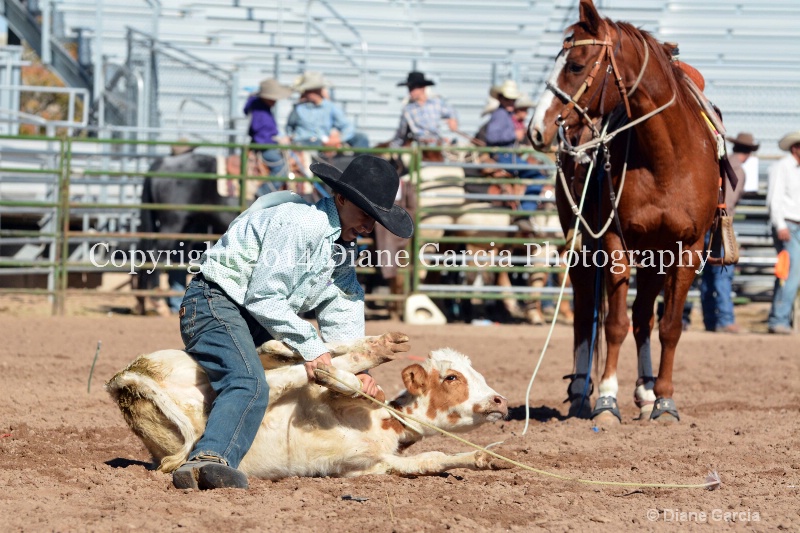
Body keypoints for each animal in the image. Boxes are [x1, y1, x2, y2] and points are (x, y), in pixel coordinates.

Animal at [106, 332, 510, 478]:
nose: (500, 401)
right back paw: (360, 354)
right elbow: (334, 382)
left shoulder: (370, 466)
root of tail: (126, 380)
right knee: (278, 373)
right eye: (452, 378)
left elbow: (430, 460)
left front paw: (486, 458)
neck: (382, 424)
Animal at [532, 1, 720, 424]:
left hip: (654, 257)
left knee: (643, 317)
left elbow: (668, 326)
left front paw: (664, 401)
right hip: (582, 245)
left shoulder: (686, 247)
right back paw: (580, 393)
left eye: (576, 65)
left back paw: (646, 392)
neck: (667, 159)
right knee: (587, 313)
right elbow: (613, 324)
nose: (536, 128)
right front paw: (606, 400)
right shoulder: (614, 239)